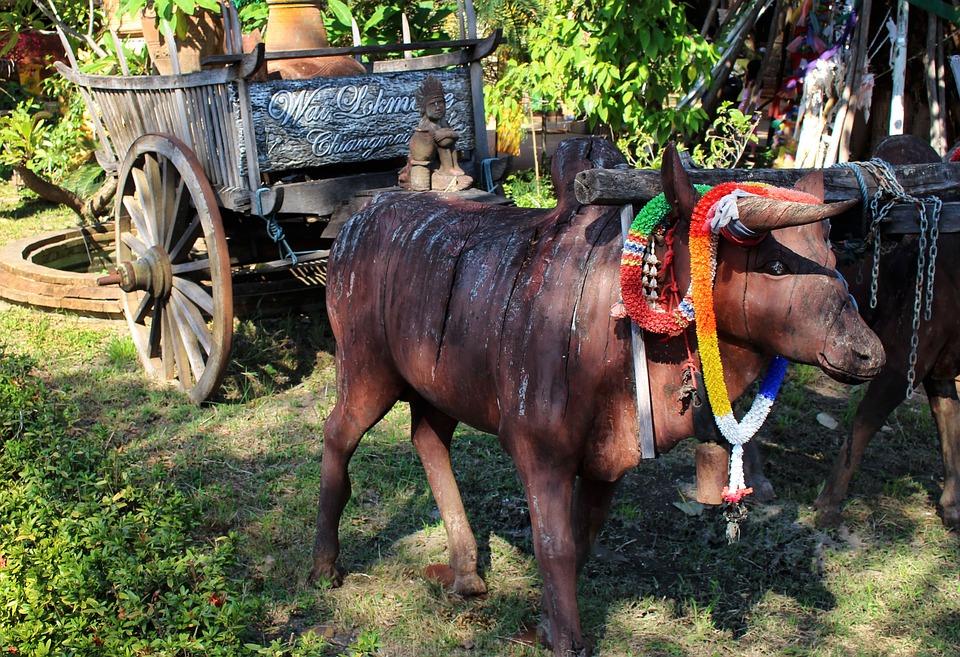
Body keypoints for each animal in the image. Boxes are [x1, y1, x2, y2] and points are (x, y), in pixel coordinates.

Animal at [310, 137, 884, 657]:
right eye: (775, 266)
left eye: (831, 255)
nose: (867, 352)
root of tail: (350, 231)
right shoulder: (538, 445)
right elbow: (555, 545)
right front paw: (567, 639)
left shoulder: (609, 459)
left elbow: (583, 536)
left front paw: (544, 625)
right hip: (365, 365)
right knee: (338, 433)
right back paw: (324, 565)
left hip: (437, 385)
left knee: (428, 439)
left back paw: (465, 572)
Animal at [812, 135, 960, 530]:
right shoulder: (906, 353)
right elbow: (866, 420)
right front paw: (828, 504)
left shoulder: (940, 365)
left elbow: (950, 425)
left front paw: (952, 507)